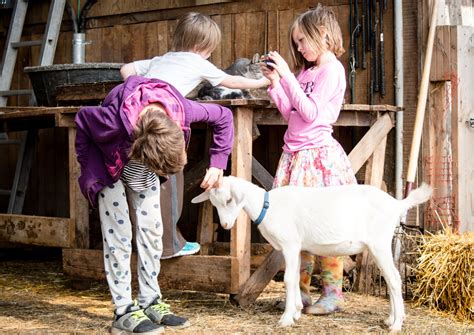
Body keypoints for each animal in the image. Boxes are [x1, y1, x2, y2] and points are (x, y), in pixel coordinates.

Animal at [193, 177, 434, 332]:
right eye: (213, 203)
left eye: (229, 200)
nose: (225, 224)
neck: (267, 206)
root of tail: (397, 204)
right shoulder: (297, 247)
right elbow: (296, 277)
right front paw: (297, 311)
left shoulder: (289, 244)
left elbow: (288, 279)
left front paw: (286, 319)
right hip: (378, 246)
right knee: (390, 278)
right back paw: (390, 319)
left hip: (379, 243)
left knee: (394, 278)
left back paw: (396, 324)